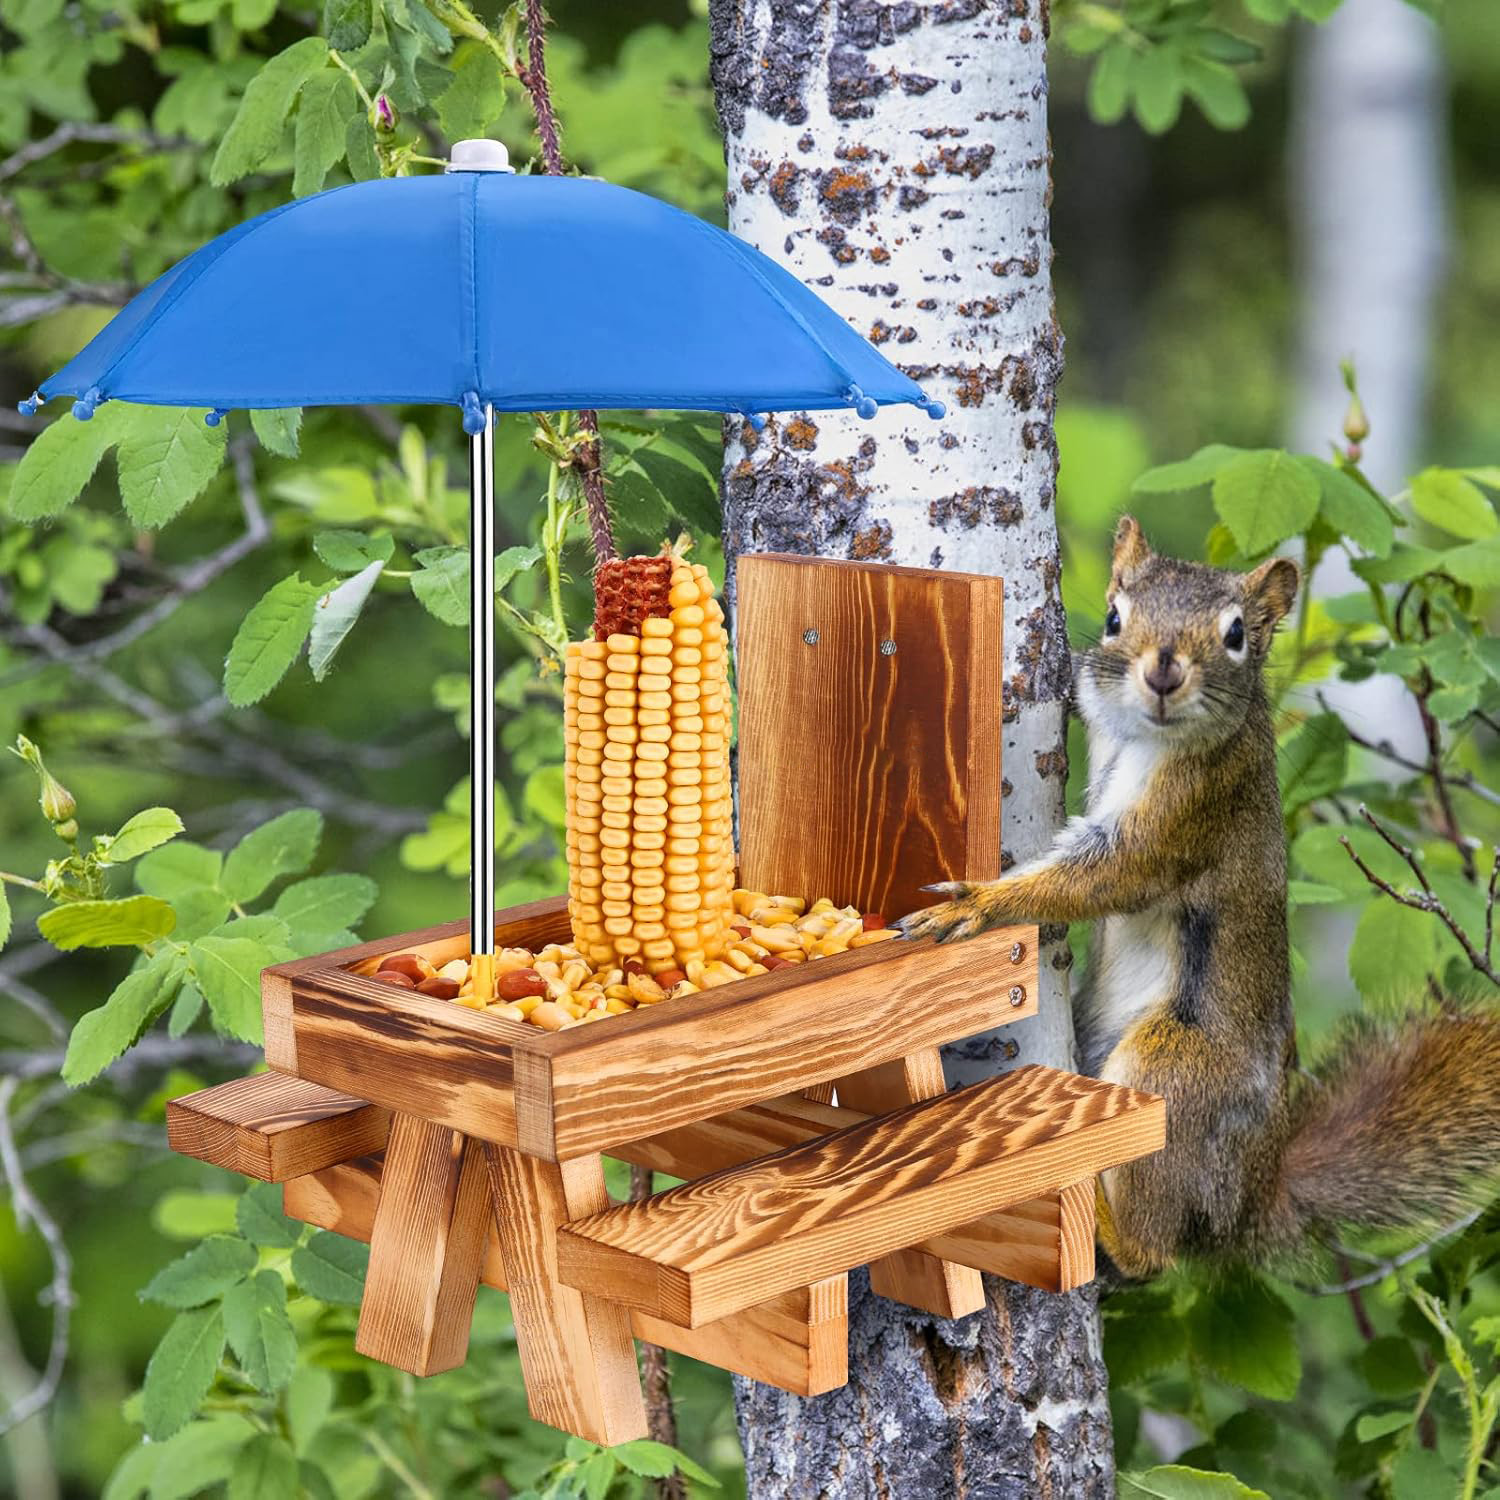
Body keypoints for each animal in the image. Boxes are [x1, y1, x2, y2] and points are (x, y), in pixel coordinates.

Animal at [901, 515, 1500, 1280]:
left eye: (1237, 634)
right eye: (1115, 616)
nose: (1163, 671)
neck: (1144, 735)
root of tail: (1247, 1202)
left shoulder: (1195, 805)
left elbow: (1110, 875)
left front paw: (977, 905)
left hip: (1176, 1069)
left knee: (1154, 1254)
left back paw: (1108, 1222)